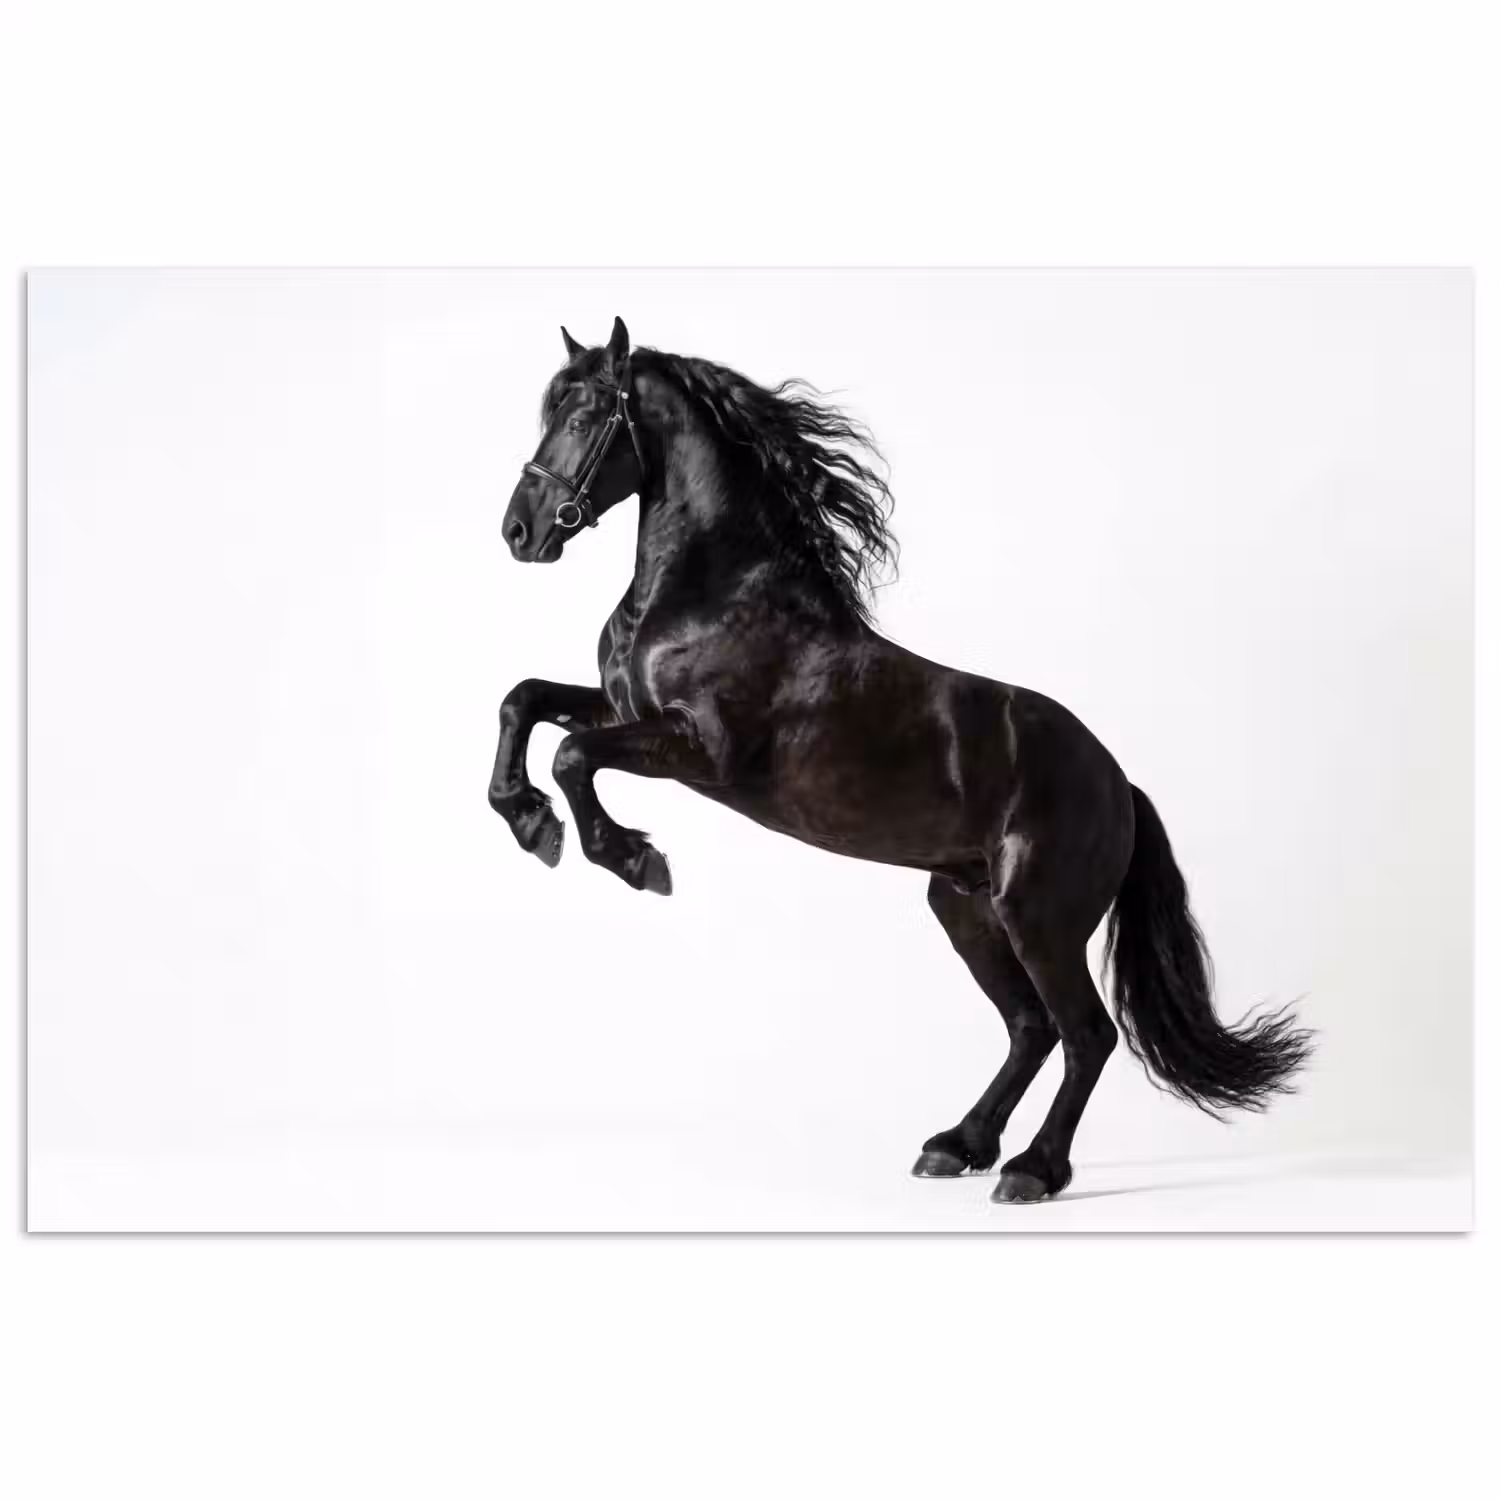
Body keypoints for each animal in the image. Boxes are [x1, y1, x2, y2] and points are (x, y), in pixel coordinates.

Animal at [490, 317, 1313, 1204]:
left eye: (584, 416)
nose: (520, 532)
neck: (712, 595)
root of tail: (1120, 785)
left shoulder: (698, 749)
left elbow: (572, 754)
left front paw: (632, 858)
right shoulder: (624, 711)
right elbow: (524, 702)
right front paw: (530, 822)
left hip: (1041, 917)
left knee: (1085, 1033)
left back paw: (1031, 1171)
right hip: (966, 909)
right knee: (1030, 1028)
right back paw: (956, 1146)